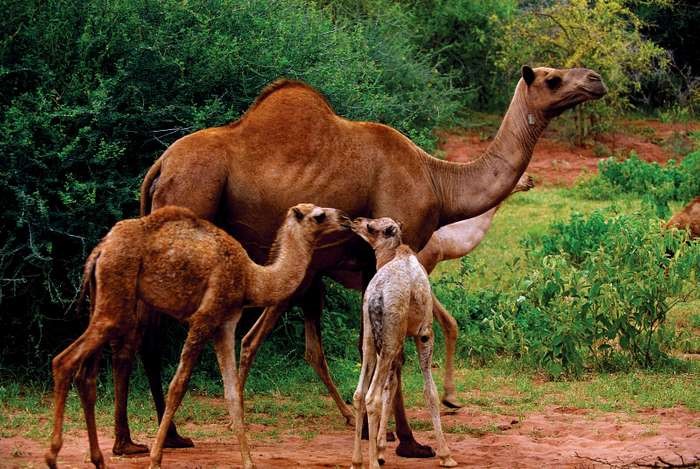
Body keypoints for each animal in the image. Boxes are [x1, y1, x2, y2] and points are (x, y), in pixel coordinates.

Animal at [44, 204, 350, 468]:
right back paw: (53, 456)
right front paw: (155, 459)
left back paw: (97, 459)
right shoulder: (203, 319)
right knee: (64, 361)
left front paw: (249, 462)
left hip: (102, 300)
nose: (346, 219)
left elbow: (232, 394)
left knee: (86, 376)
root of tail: (100, 250)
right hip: (115, 299)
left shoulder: (225, 324)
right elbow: (177, 387)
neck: (252, 278)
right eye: (319, 216)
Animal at [350, 218, 460, 468]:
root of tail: (377, 296)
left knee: (360, 393)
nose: (356, 221)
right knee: (372, 396)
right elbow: (429, 391)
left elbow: (391, 387)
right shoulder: (424, 333)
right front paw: (446, 455)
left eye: (371, 226)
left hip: (372, 338)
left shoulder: (392, 341)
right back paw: (372, 463)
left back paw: (357, 460)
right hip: (392, 338)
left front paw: (382, 450)